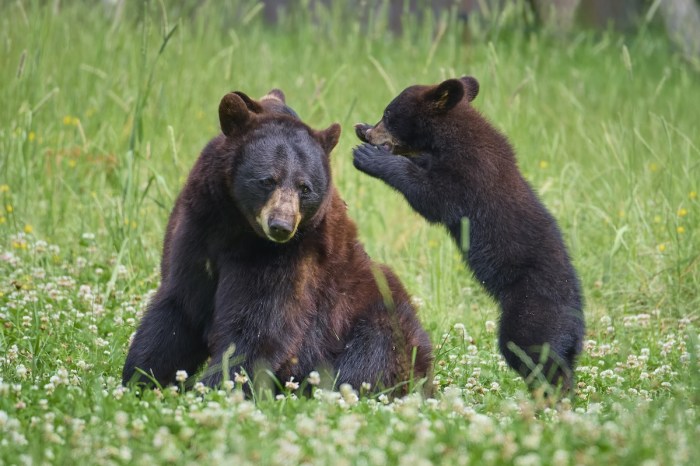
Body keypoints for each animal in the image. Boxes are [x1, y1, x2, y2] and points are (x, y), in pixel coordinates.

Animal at [122, 89, 433, 395]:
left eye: (305, 187)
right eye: (268, 180)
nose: (281, 225)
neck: (236, 227)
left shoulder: (290, 257)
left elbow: (259, 326)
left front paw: (217, 387)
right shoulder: (198, 228)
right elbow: (179, 307)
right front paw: (141, 378)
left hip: (374, 314)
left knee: (372, 354)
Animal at [352, 76, 584, 393]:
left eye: (388, 114)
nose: (364, 132)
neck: (448, 139)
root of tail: (576, 320)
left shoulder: (469, 173)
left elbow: (432, 197)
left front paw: (370, 158)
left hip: (532, 314)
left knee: (534, 355)